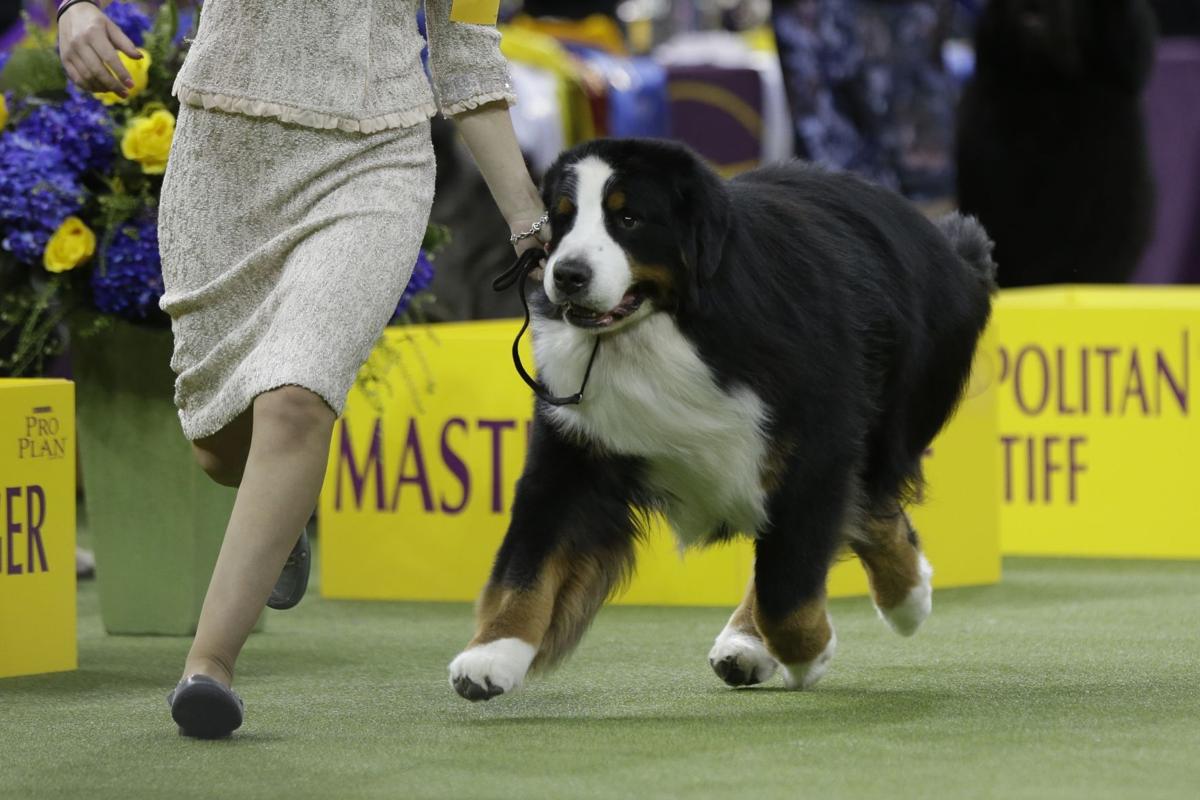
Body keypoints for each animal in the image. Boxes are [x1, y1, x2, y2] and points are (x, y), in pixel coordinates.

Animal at [448, 139, 993, 700]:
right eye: (562, 218)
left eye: (628, 218)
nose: (567, 275)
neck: (668, 330)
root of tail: (940, 237)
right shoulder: (574, 448)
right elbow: (529, 562)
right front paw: (493, 654)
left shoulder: (814, 447)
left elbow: (786, 585)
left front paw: (807, 654)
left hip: (886, 421)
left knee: (866, 505)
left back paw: (901, 601)